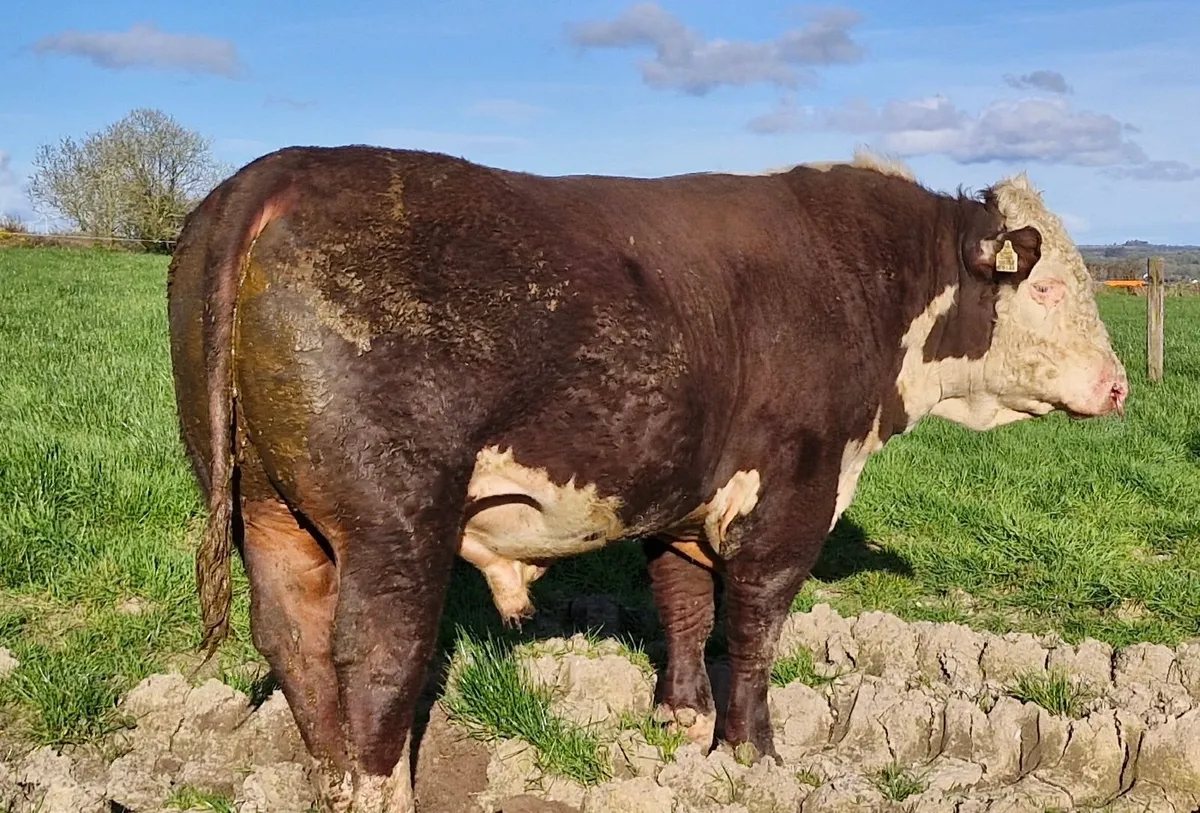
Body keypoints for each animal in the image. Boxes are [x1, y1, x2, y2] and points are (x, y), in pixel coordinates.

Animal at [166, 145, 1128, 812]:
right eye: (1046, 289)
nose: (1119, 385)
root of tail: (287, 168)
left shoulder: (685, 492)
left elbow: (684, 603)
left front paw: (683, 719)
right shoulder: (796, 489)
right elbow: (756, 622)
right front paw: (754, 753)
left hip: (266, 510)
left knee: (291, 639)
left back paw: (328, 779)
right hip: (394, 525)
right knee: (376, 655)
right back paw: (378, 789)